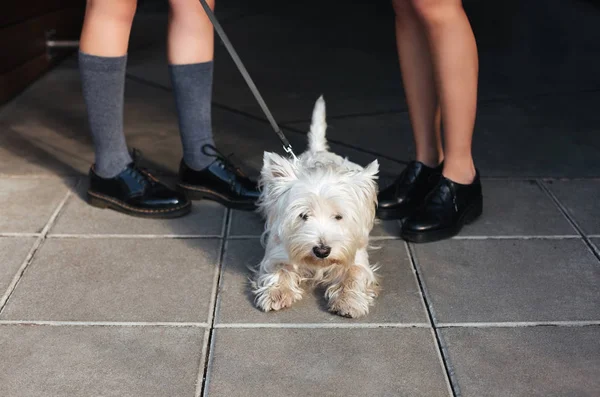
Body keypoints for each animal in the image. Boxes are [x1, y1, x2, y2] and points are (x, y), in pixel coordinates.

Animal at [252, 96, 380, 318]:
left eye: (338, 217)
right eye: (303, 215)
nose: (322, 250)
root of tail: (318, 150)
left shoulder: (356, 256)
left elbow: (354, 273)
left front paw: (348, 301)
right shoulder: (278, 251)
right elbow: (280, 268)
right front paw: (276, 293)